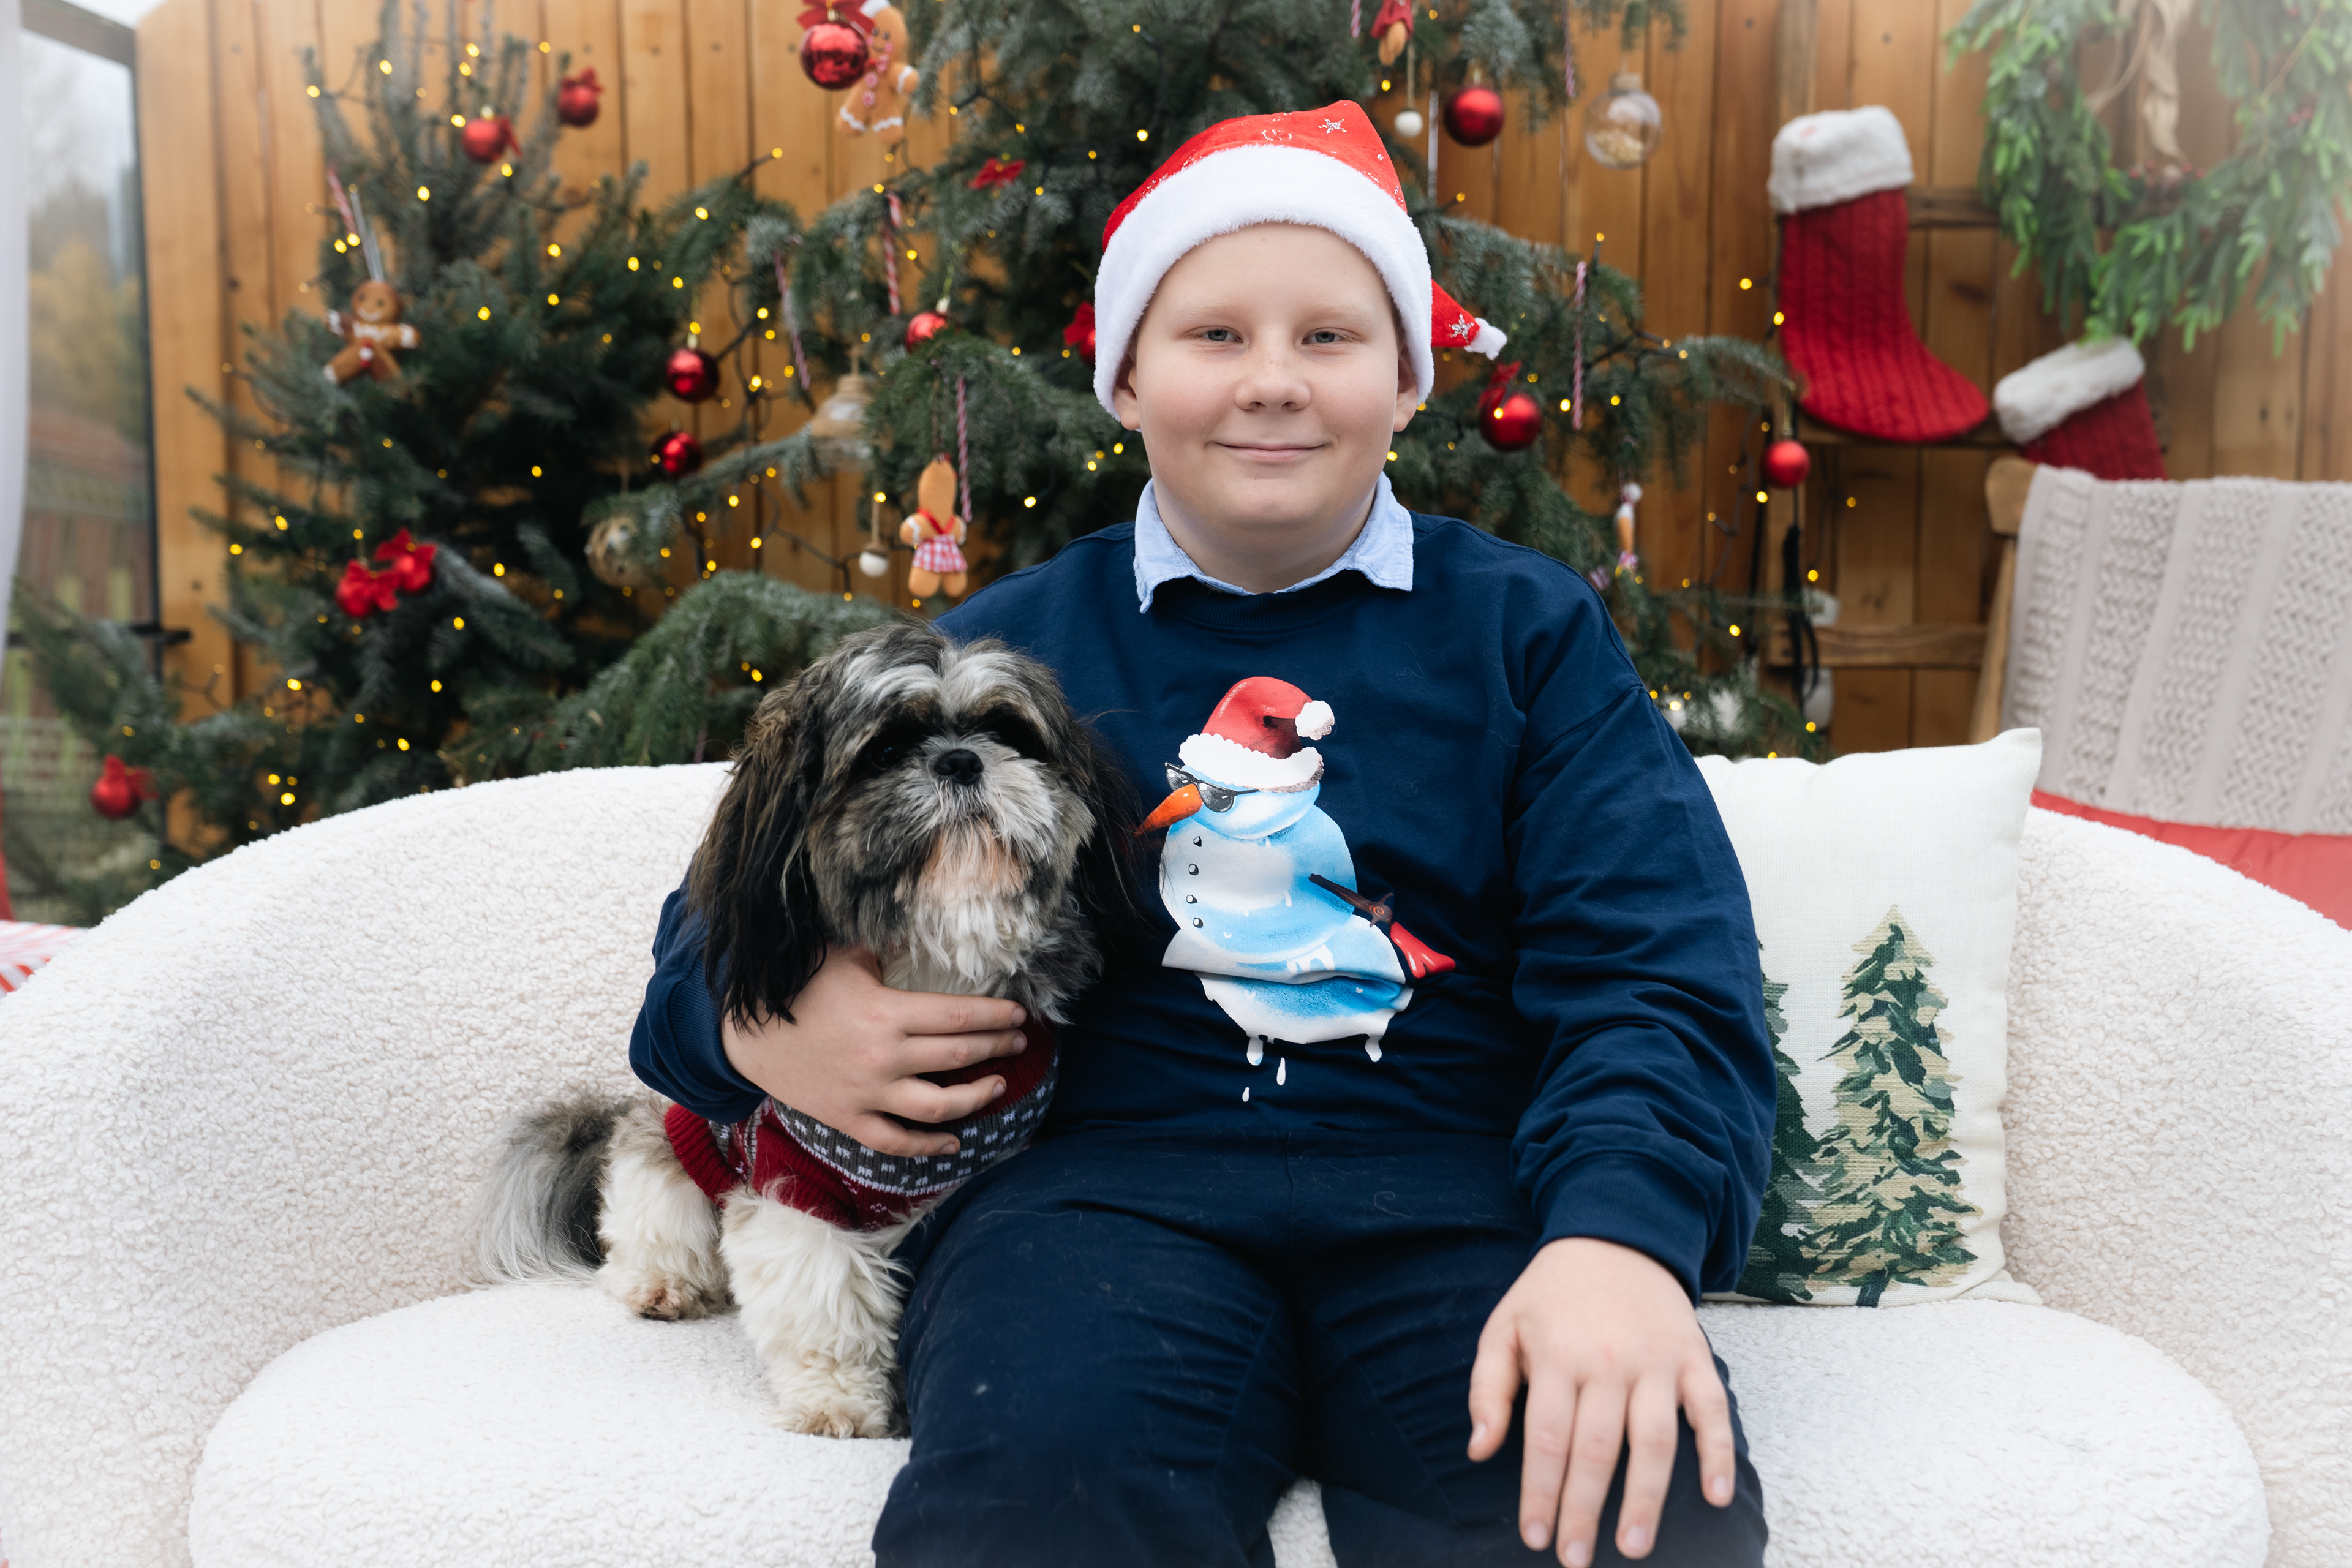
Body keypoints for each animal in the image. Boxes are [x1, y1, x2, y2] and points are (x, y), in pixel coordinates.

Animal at [475, 623, 1134, 1438]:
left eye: (1007, 731)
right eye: (885, 750)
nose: (961, 759)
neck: (936, 965)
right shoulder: (793, 1179)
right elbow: (825, 1297)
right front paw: (837, 1400)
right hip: (672, 1143)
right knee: (647, 1226)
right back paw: (663, 1285)